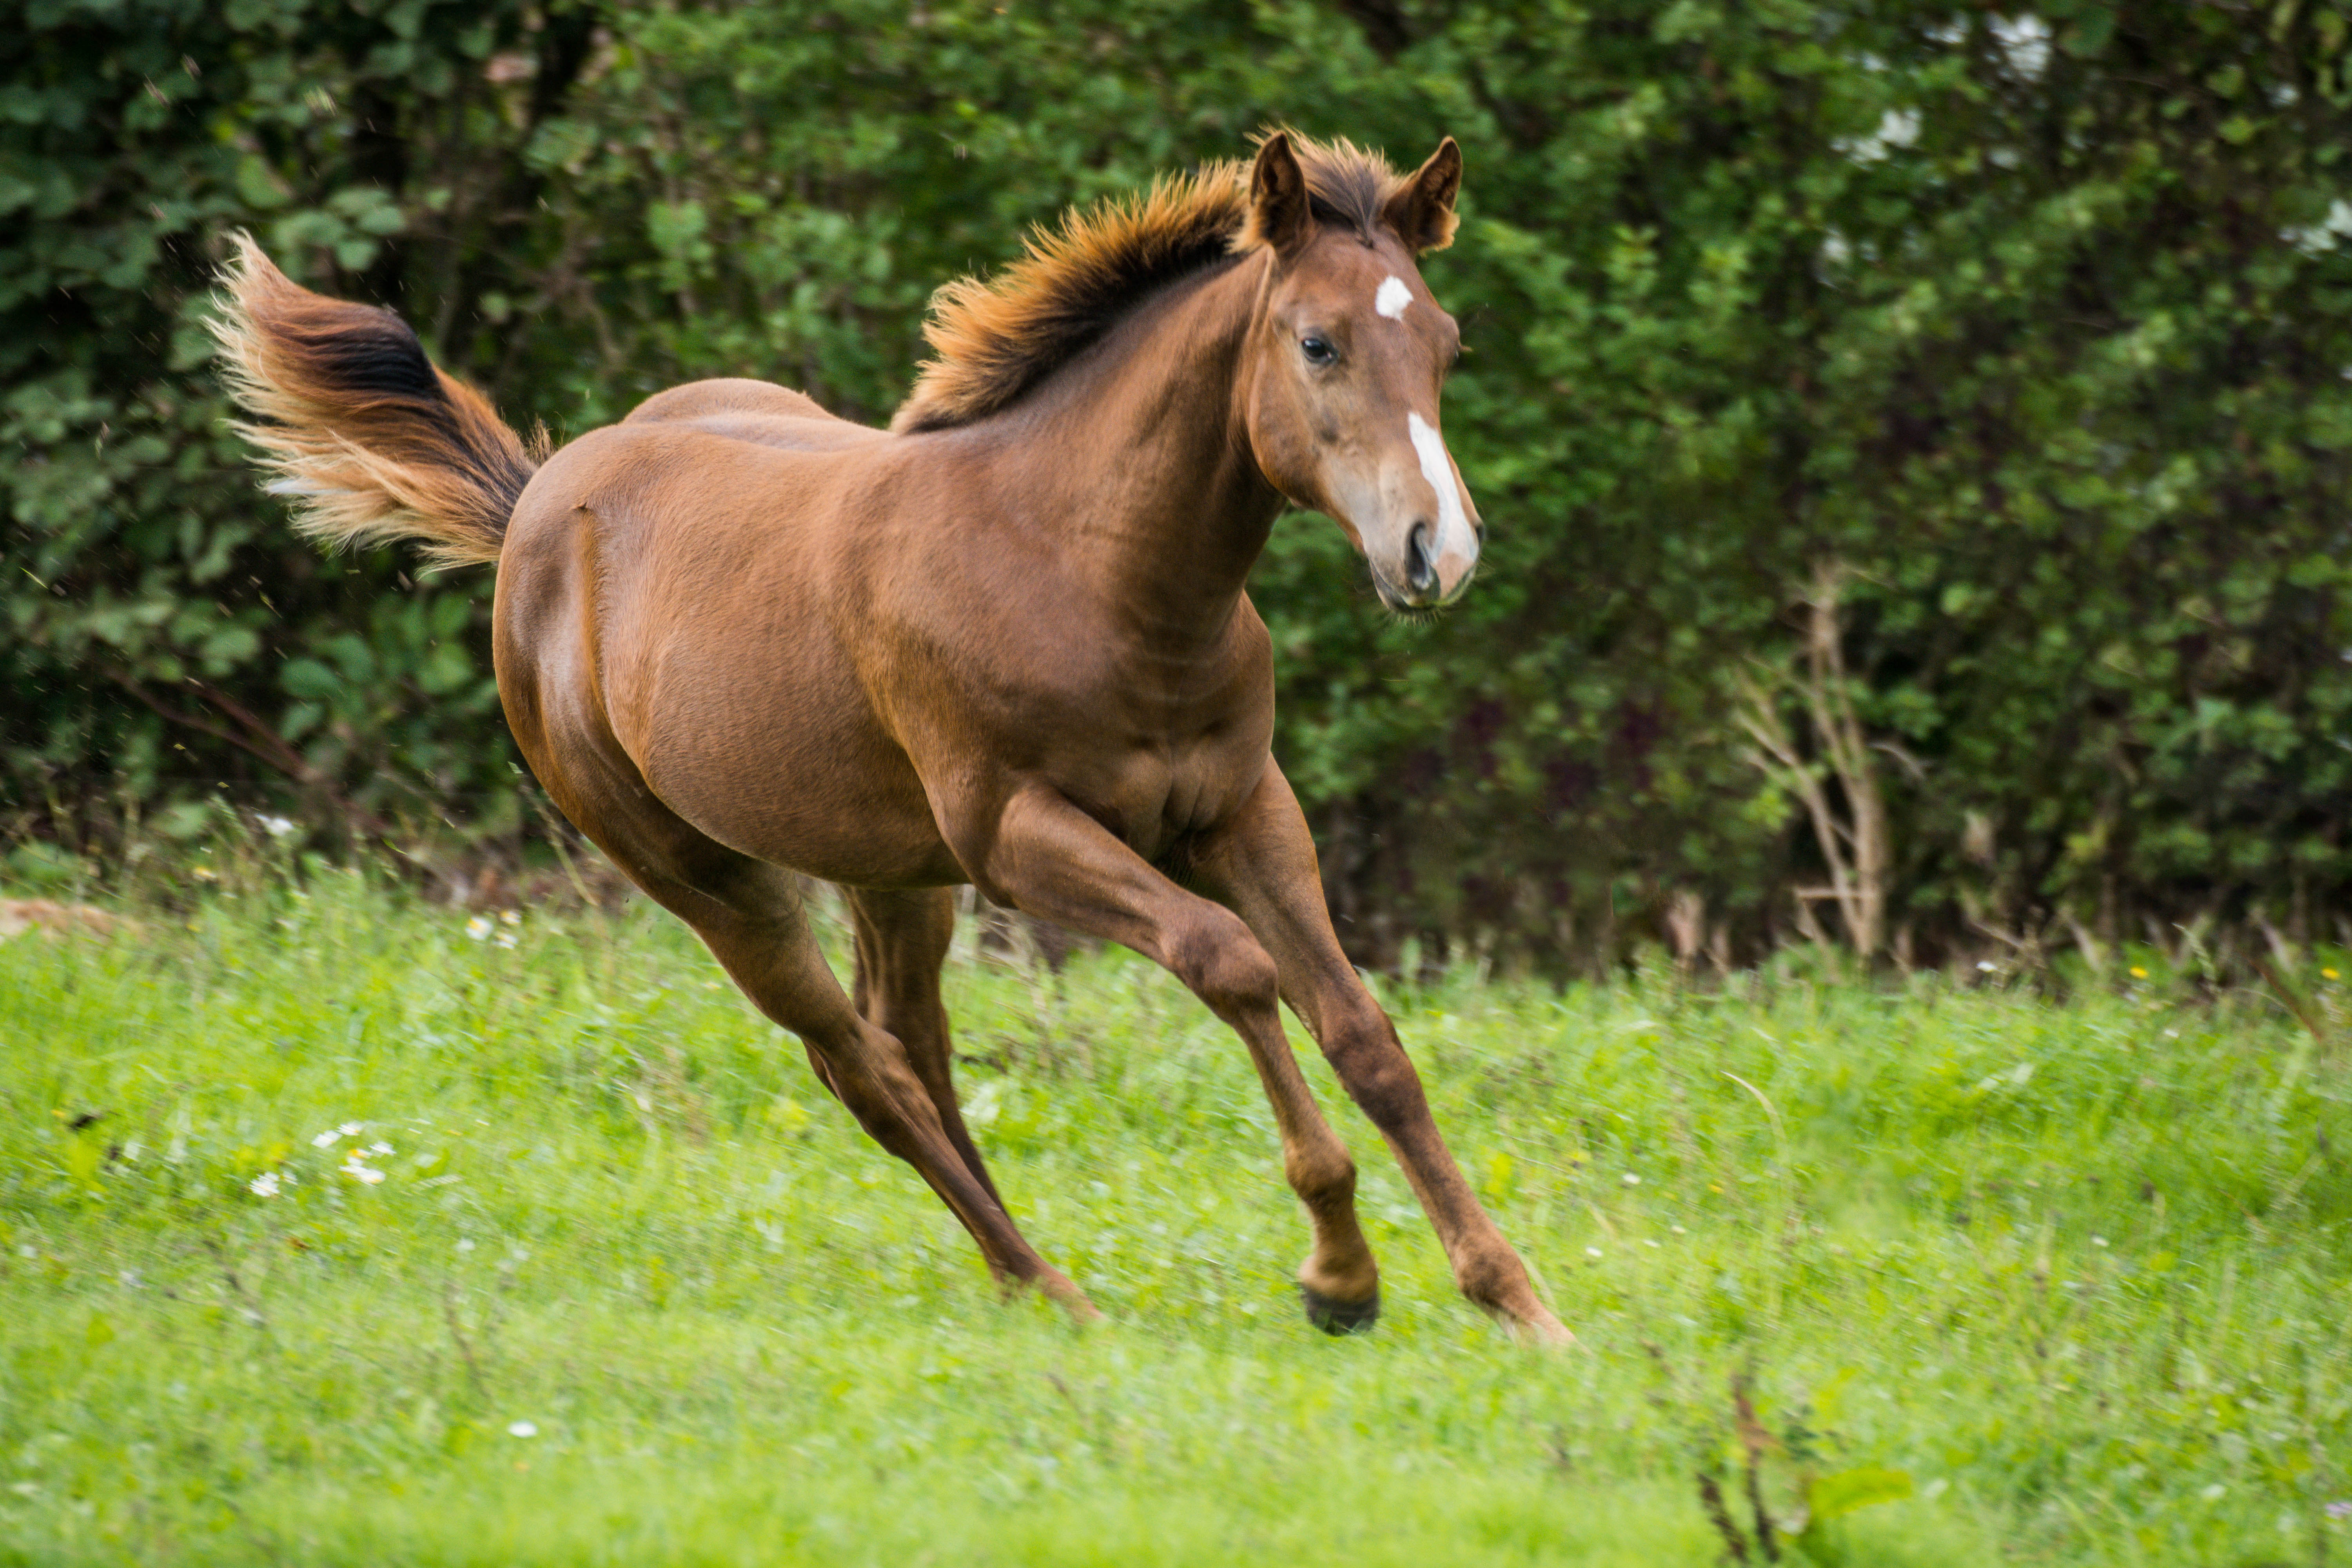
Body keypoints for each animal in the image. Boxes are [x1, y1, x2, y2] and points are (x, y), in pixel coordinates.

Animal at [221, 129, 1571, 1345]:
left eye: (1446, 344)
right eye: (1317, 342)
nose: (1437, 552)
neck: (1091, 573)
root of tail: (536, 505)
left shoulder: (1243, 810)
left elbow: (1363, 1032)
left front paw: (1518, 1301)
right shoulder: (1016, 839)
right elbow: (1230, 963)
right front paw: (1340, 1277)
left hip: (891, 872)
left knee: (913, 1042)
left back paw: (1019, 1278)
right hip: (706, 879)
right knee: (860, 1066)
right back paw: (1050, 1289)